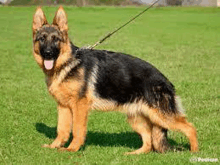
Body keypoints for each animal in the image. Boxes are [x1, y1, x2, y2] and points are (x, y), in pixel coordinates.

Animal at [32, 5, 198, 154]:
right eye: (42, 39)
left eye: (56, 39)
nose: (48, 53)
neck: (67, 63)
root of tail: (166, 81)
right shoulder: (63, 107)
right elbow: (62, 129)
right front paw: (54, 146)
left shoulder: (79, 107)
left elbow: (77, 129)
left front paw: (72, 149)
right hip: (136, 118)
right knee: (148, 141)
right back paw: (133, 154)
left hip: (161, 116)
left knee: (190, 127)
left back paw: (195, 152)